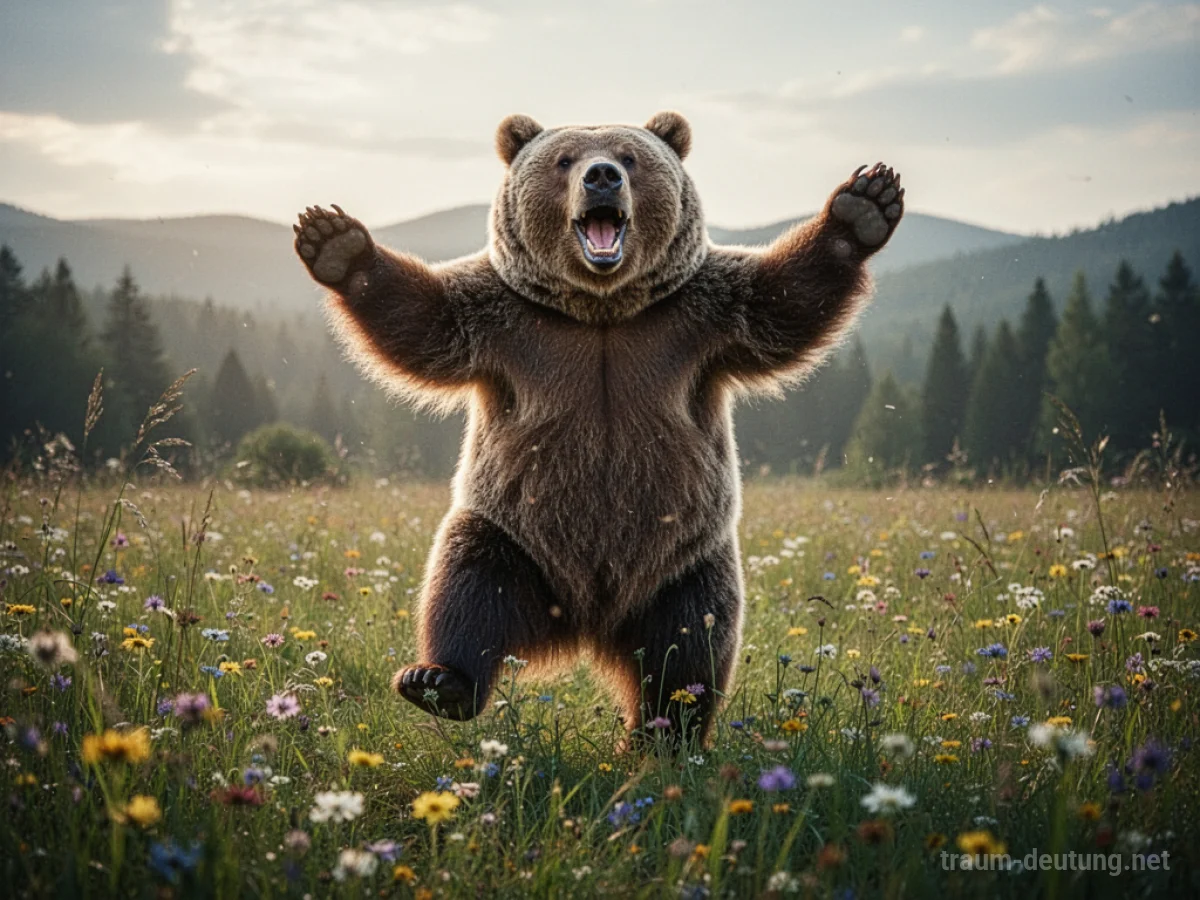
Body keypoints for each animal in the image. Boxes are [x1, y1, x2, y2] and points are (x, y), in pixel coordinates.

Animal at [293, 111, 903, 746]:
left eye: (630, 157)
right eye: (565, 160)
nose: (602, 175)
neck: (601, 310)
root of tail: (588, 623)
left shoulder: (698, 316)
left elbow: (784, 302)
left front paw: (862, 207)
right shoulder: (503, 319)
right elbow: (421, 320)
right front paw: (335, 242)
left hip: (683, 561)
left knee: (690, 639)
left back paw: (669, 725)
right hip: (516, 535)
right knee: (468, 584)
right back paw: (439, 681)